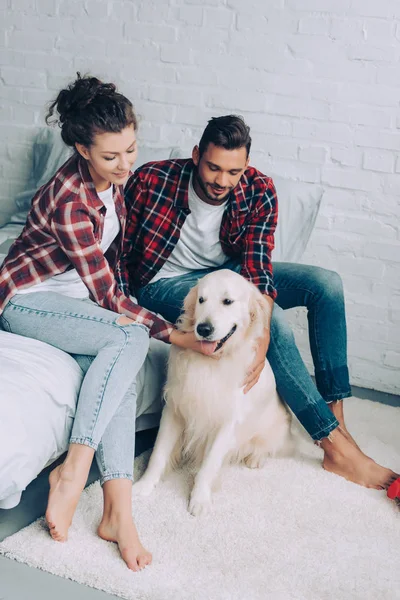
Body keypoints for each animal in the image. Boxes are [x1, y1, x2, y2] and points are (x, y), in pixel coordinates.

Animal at [133, 270, 292, 512]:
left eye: (227, 301)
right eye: (201, 300)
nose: (203, 329)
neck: (212, 361)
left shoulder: (227, 421)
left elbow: (209, 464)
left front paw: (199, 499)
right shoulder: (174, 407)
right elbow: (159, 453)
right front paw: (145, 485)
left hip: (275, 426)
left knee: (268, 446)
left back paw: (255, 458)